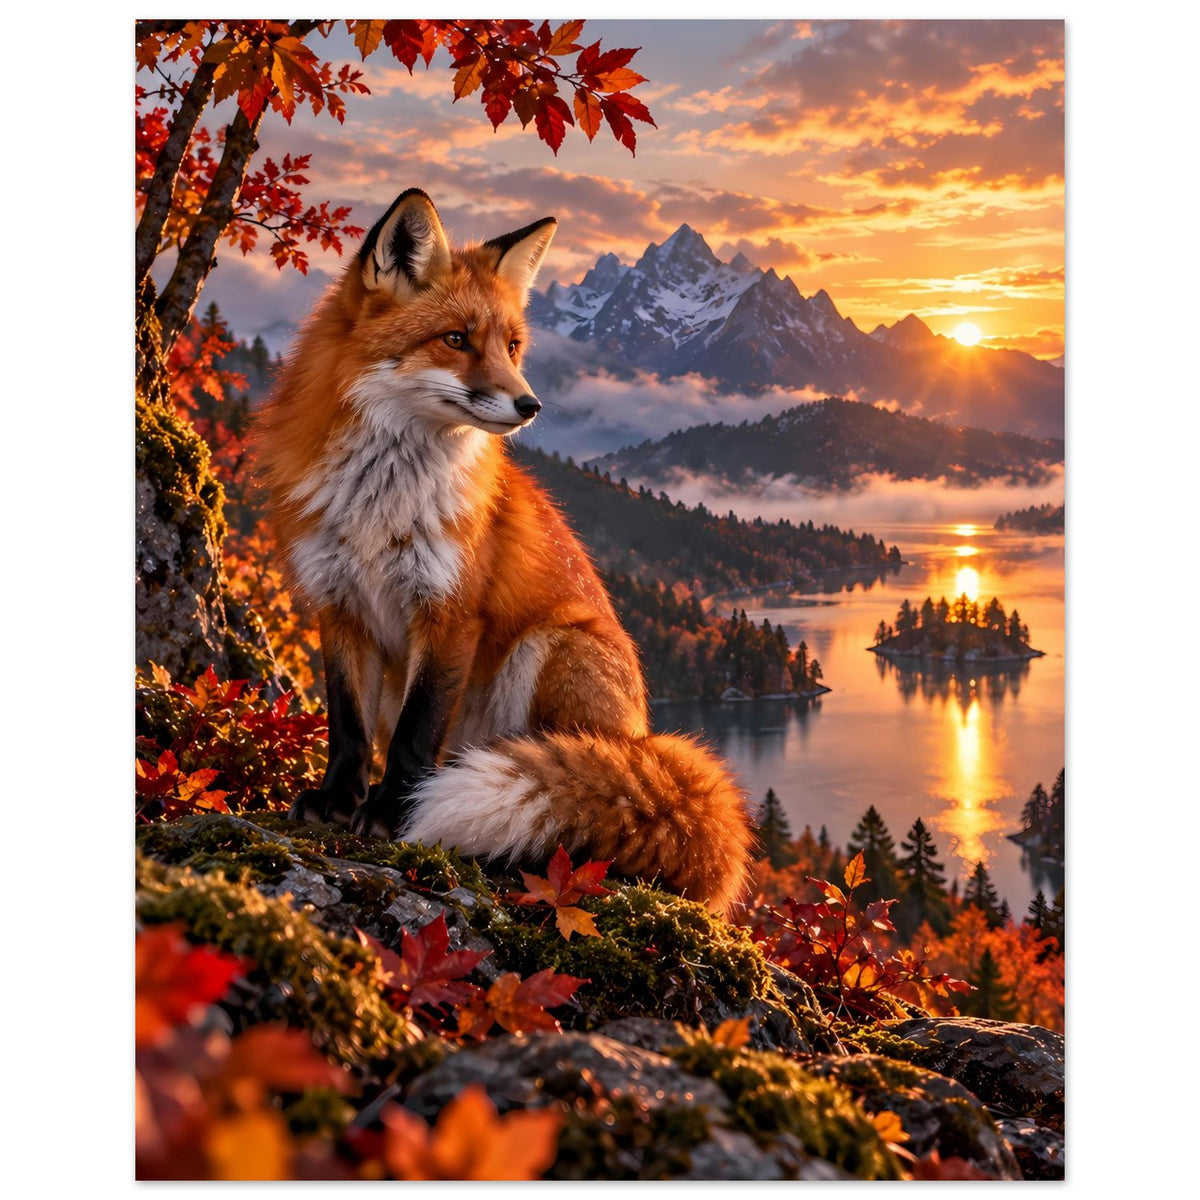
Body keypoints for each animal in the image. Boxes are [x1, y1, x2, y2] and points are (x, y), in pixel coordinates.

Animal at [254, 188, 753, 914]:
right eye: (456, 340)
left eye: (513, 345)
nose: (530, 404)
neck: (381, 503)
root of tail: (644, 737)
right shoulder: (338, 605)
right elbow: (347, 727)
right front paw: (337, 801)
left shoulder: (450, 612)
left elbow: (415, 734)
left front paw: (392, 814)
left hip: (549, 646)